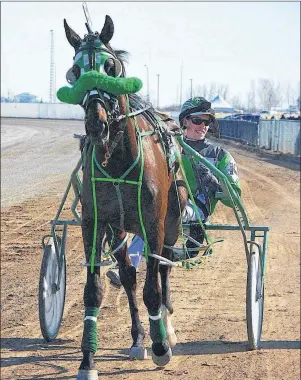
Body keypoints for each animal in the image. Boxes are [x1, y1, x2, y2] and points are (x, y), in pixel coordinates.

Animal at [61, 15, 188, 380]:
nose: (96, 124)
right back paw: (137, 339)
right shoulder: (94, 223)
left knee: (164, 268)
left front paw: (161, 347)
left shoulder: (154, 224)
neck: (117, 162)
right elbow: (94, 290)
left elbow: (152, 288)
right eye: (74, 71)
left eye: (111, 67)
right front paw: (88, 360)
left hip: (172, 220)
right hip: (118, 230)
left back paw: (166, 330)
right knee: (129, 275)